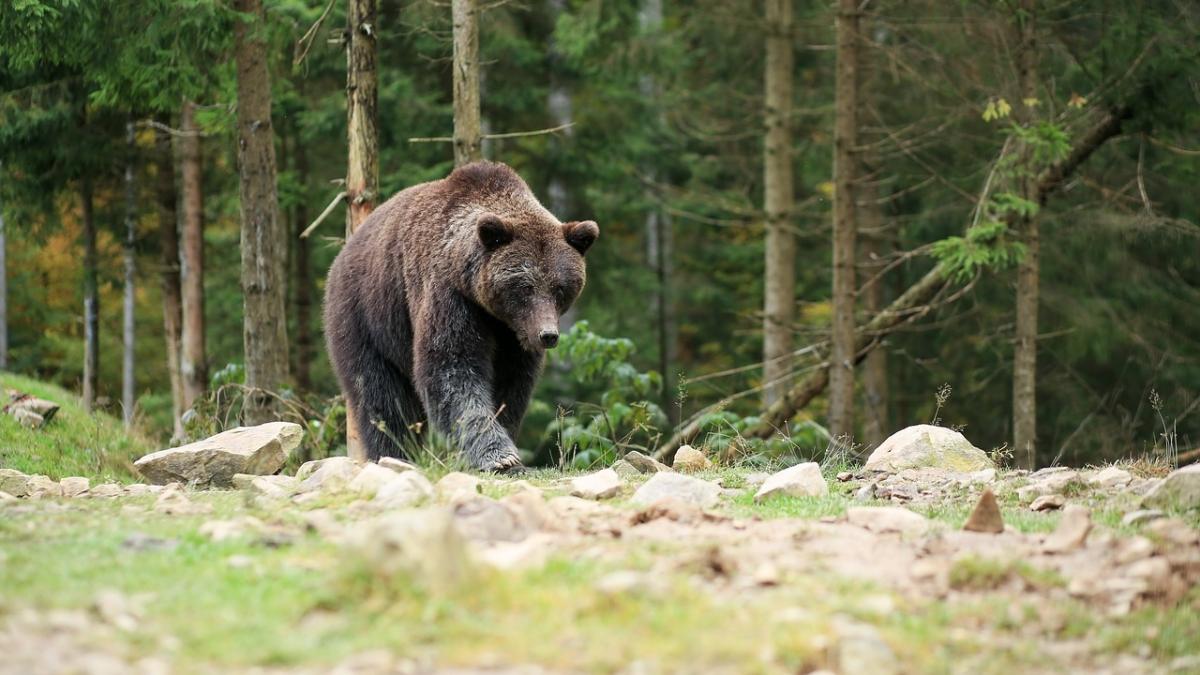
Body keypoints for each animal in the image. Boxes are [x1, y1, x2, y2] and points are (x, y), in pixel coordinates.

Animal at [324, 159, 600, 470]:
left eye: (560, 288)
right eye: (525, 287)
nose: (547, 335)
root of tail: (345, 250)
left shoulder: (512, 335)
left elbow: (511, 383)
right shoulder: (450, 296)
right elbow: (451, 366)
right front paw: (499, 456)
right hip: (367, 315)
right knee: (380, 394)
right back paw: (393, 453)